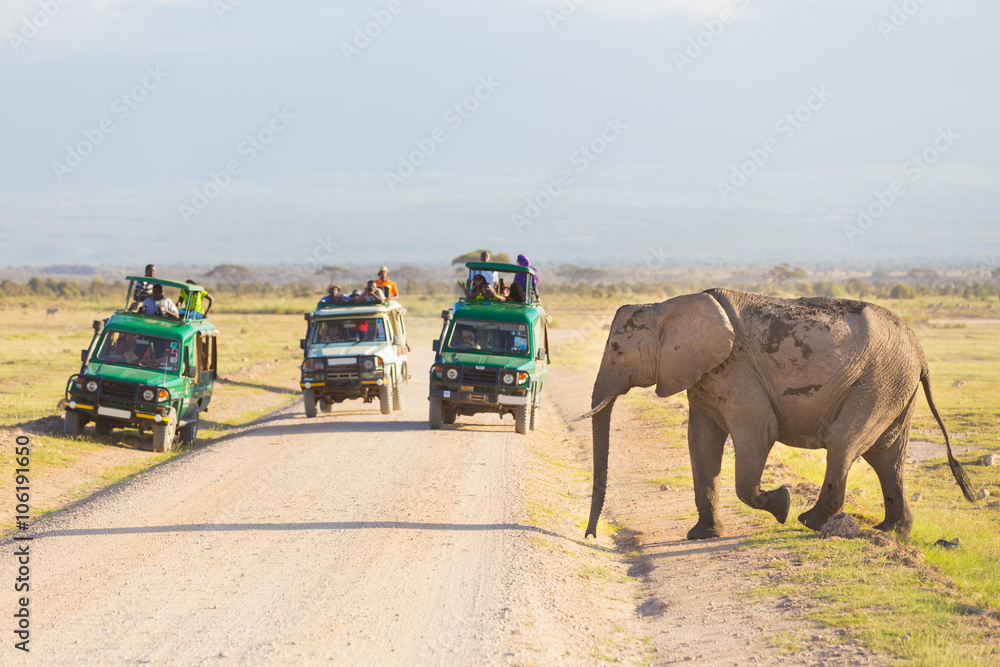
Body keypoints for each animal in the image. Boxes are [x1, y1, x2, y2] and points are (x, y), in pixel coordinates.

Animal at [573, 288, 974, 541]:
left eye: (616, 348)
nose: (590, 536)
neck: (665, 306)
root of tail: (920, 353)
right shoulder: (703, 376)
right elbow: (701, 442)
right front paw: (702, 536)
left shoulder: (736, 371)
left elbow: (758, 433)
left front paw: (782, 503)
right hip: (895, 386)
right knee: (887, 457)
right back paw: (891, 532)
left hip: (879, 382)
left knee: (844, 443)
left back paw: (809, 520)